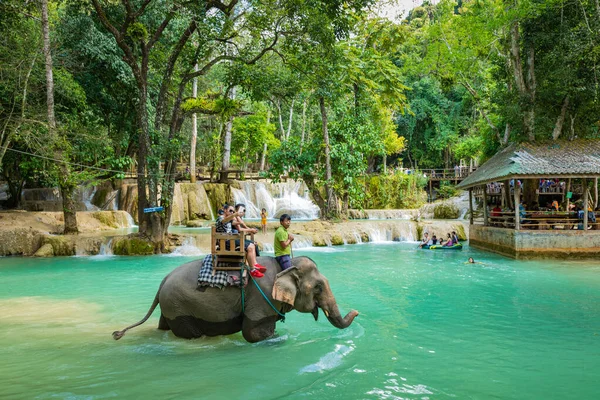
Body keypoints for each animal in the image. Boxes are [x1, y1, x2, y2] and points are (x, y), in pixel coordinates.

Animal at [111, 255, 356, 342]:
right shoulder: (262, 297)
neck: (285, 265)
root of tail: (162, 282)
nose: (356, 311)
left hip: (170, 306)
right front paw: (276, 338)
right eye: (318, 287)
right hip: (180, 307)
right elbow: (253, 333)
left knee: (163, 327)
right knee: (191, 334)